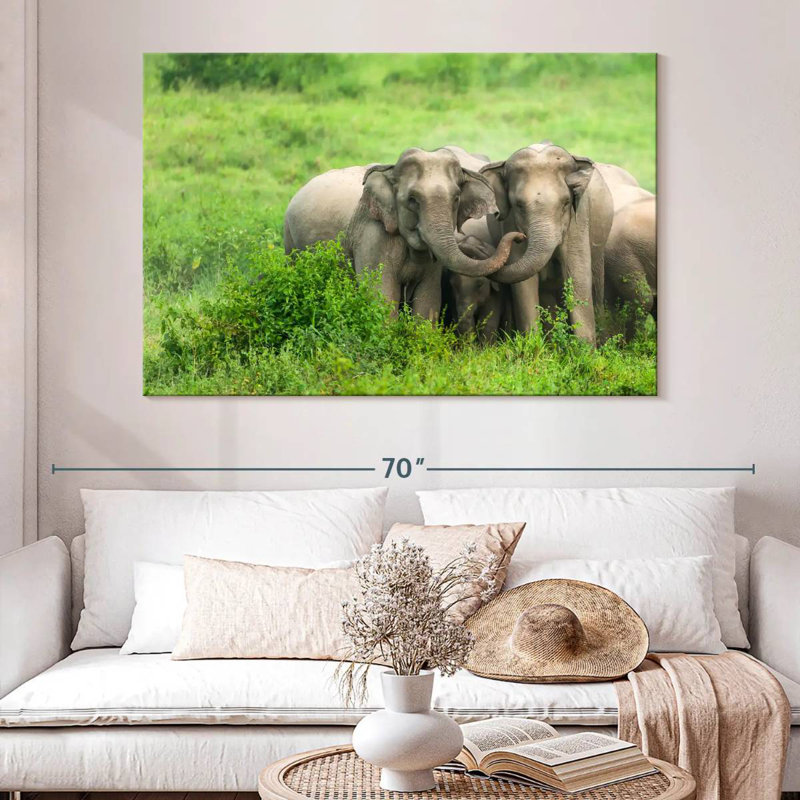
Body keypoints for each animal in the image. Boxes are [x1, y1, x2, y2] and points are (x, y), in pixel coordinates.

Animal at [283, 147, 523, 321]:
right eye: (412, 200)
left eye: (456, 198)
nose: (520, 237)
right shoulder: (372, 238)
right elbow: (381, 295)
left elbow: (428, 300)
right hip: (289, 240)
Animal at [478, 143, 615, 345]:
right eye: (519, 205)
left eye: (566, 203)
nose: (518, 237)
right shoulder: (510, 221)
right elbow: (524, 282)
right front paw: (532, 346)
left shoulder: (579, 219)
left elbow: (578, 273)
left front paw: (584, 351)